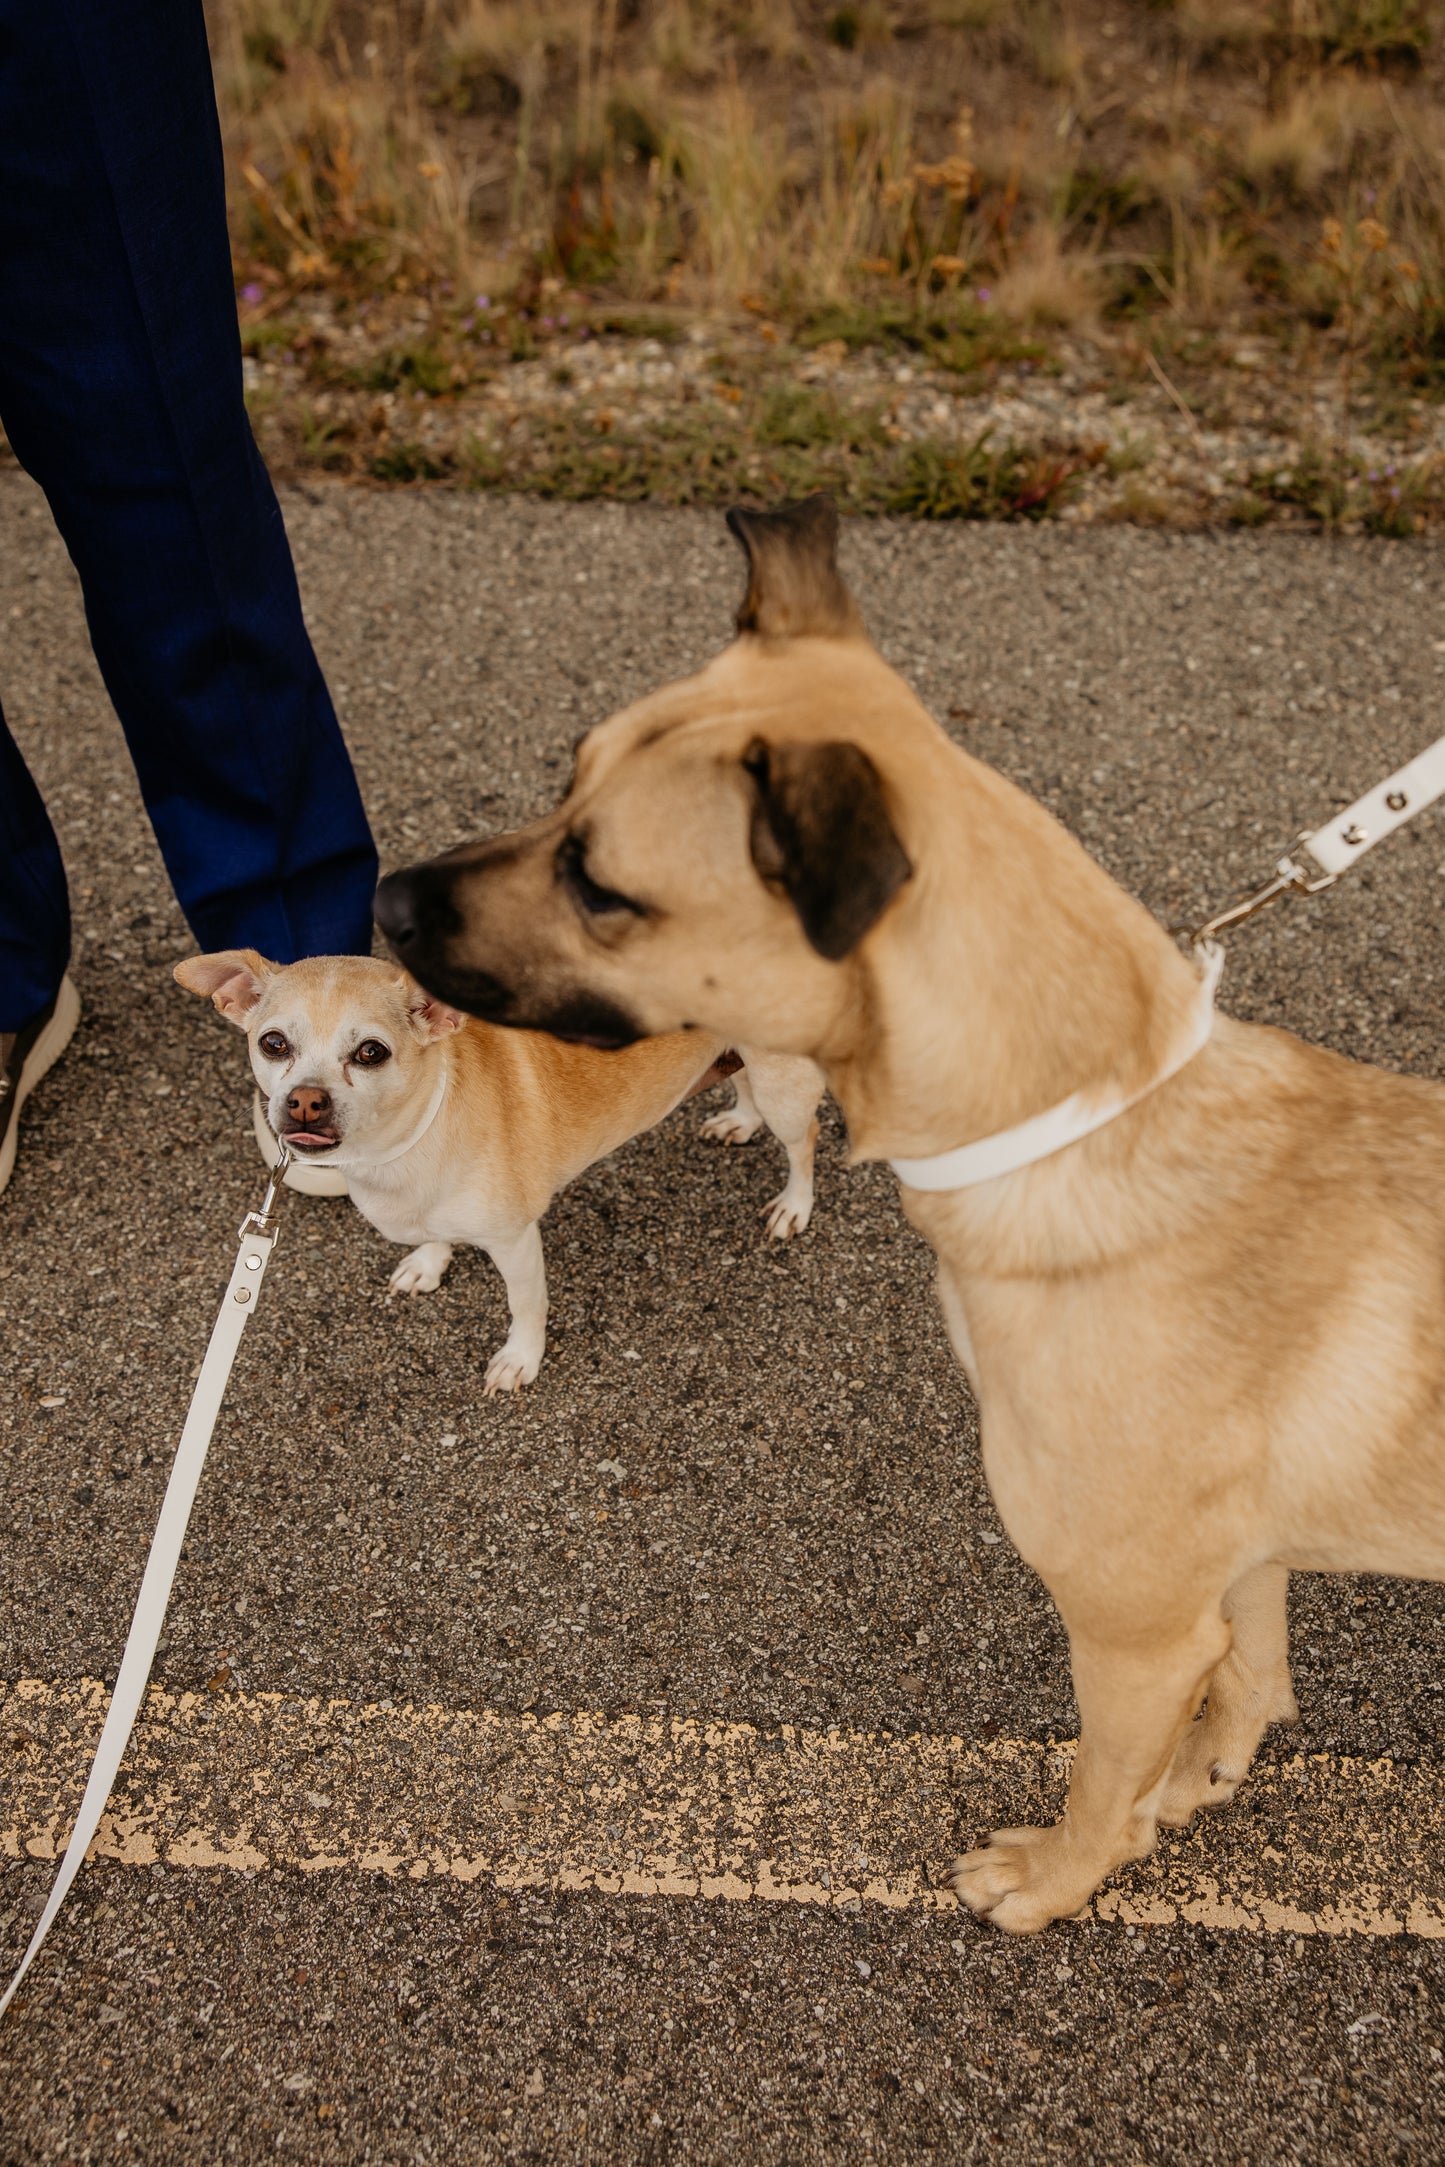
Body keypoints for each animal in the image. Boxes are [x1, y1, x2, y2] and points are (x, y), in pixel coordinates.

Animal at [177, 957, 823, 1395]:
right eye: (273, 1043)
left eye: (371, 1053)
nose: (305, 1102)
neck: (399, 1150)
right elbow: (435, 1239)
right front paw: (428, 1263)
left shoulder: (515, 1241)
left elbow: (527, 1305)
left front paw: (520, 1360)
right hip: (743, 1059)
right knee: (742, 1084)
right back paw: (739, 1121)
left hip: (785, 1088)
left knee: (804, 1141)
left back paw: (794, 1204)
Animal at [379, 498, 1445, 1941]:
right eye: (564, 781)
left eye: (602, 885)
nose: (384, 900)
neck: (1074, 1134)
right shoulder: (1226, 1573)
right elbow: (1249, 1684)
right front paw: (1192, 1785)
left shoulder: (1129, 1627)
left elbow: (1099, 1778)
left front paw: (1054, 1880)